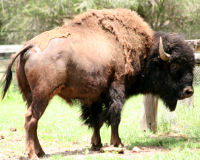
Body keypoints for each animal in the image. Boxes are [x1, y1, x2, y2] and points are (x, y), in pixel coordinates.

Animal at [1, 8, 195, 158]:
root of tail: (30, 46)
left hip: (30, 96)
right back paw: (32, 154)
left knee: (33, 122)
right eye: (174, 65)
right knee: (30, 119)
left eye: (191, 65)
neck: (146, 53)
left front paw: (97, 144)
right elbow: (114, 116)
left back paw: (41, 152)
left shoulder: (94, 97)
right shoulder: (116, 88)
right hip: (43, 95)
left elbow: (97, 120)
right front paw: (117, 144)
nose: (189, 91)